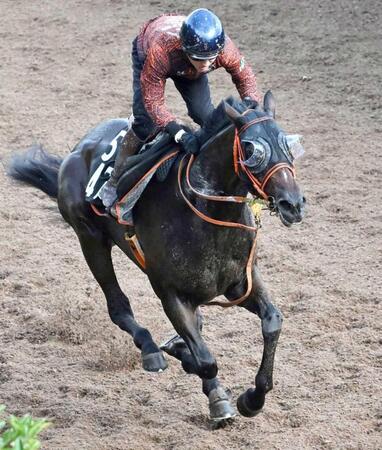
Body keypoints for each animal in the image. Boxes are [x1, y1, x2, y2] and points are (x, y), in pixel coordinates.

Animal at [7, 90, 306, 422]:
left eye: (288, 144)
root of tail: (75, 152)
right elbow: (206, 360)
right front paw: (211, 388)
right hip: (90, 239)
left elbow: (272, 322)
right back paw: (151, 350)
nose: (293, 203)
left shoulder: (241, 282)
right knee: (118, 307)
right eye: (253, 149)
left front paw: (252, 399)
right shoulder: (170, 293)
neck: (205, 214)